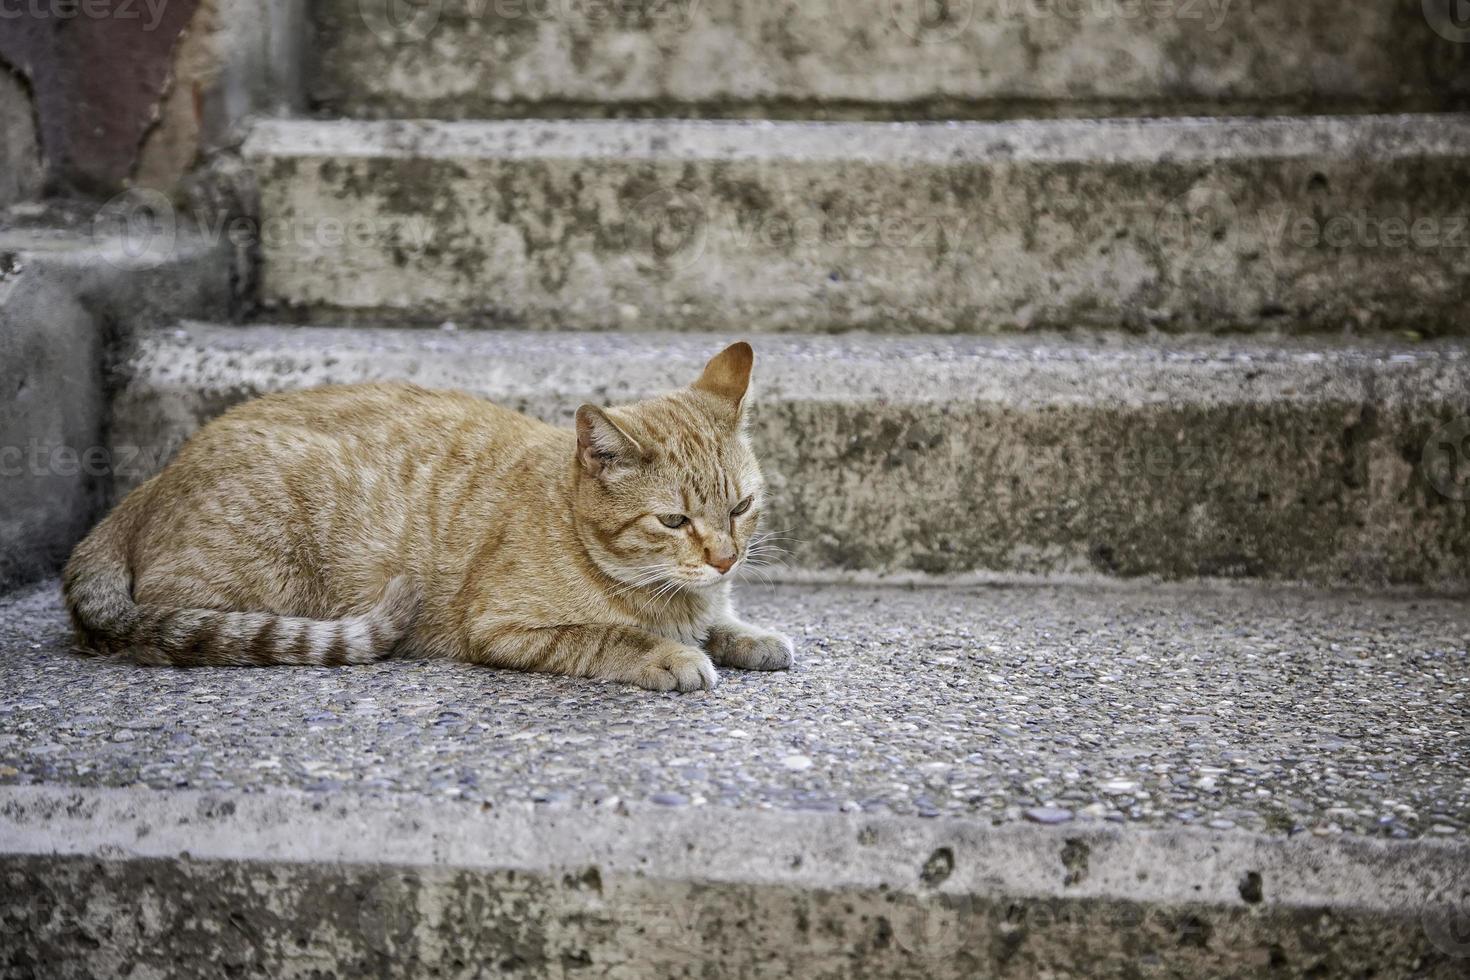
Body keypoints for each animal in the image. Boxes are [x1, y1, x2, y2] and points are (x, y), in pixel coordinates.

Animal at [60, 343, 793, 690]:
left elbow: (720, 621)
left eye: (740, 507)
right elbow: (610, 638)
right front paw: (671, 654)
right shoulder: (504, 628)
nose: (725, 558)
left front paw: (746, 633)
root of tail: (155, 479)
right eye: (673, 522)